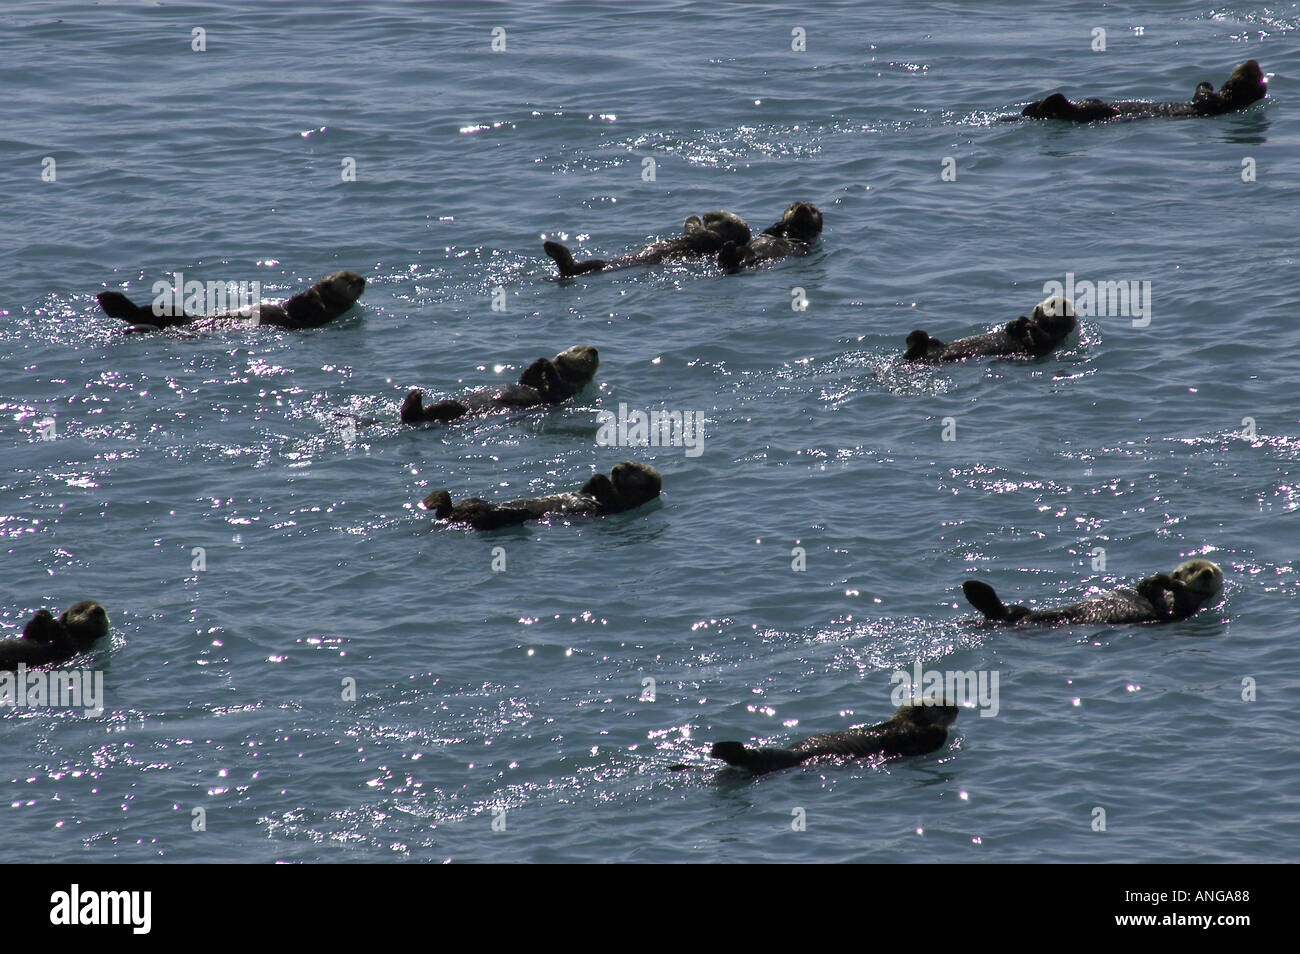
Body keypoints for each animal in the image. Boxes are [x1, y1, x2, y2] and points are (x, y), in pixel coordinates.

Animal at [401, 345, 599, 425]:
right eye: (576, 349)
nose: (593, 350)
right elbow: (524, 380)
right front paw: (538, 364)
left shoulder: (568, 389)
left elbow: (556, 385)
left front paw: (546, 364)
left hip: (451, 409)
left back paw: (415, 396)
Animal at [423, 460, 661, 530]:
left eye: (632, 468)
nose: (616, 469)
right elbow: (587, 489)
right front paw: (596, 476)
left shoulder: (618, 503)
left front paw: (601, 477)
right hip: (465, 504)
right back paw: (434, 499)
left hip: (488, 518)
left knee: (485, 519)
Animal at [543, 210, 751, 278]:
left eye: (716, 216)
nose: (706, 215)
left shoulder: (710, 238)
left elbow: (696, 231)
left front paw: (695, 219)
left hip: (595, 266)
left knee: (574, 267)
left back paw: (553, 248)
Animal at [904, 295, 1076, 362]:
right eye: (1051, 302)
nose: (1061, 303)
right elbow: (1010, 329)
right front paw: (1018, 322)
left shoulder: (1050, 341)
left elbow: (1039, 340)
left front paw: (1027, 325)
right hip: (932, 344)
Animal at [963, 559, 1223, 627]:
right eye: (1185, 569)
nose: (1207, 573)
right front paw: (1150, 582)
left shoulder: (1185, 605)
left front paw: (1160, 583)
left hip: (1021, 618)